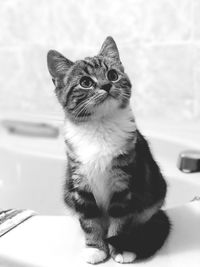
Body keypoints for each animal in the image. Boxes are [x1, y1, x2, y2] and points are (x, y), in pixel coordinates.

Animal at [47, 36, 170, 264]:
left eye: (113, 75)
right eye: (85, 82)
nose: (106, 85)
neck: (100, 125)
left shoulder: (125, 184)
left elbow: (120, 221)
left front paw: (120, 248)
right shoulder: (80, 183)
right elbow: (89, 221)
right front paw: (96, 248)